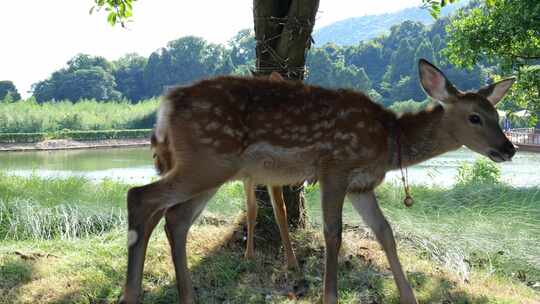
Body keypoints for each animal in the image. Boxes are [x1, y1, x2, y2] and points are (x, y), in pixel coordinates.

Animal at [121, 60, 516, 304]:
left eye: (499, 115)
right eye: (475, 117)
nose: (508, 148)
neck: (390, 141)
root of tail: (165, 105)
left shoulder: (361, 185)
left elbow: (384, 232)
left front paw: (409, 296)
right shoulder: (334, 168)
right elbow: (333, 234)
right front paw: (330, 296)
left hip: (211, 169)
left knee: (174, 218)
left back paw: (182, 295)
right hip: (208, 160)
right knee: (141, 197)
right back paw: (131, 294)